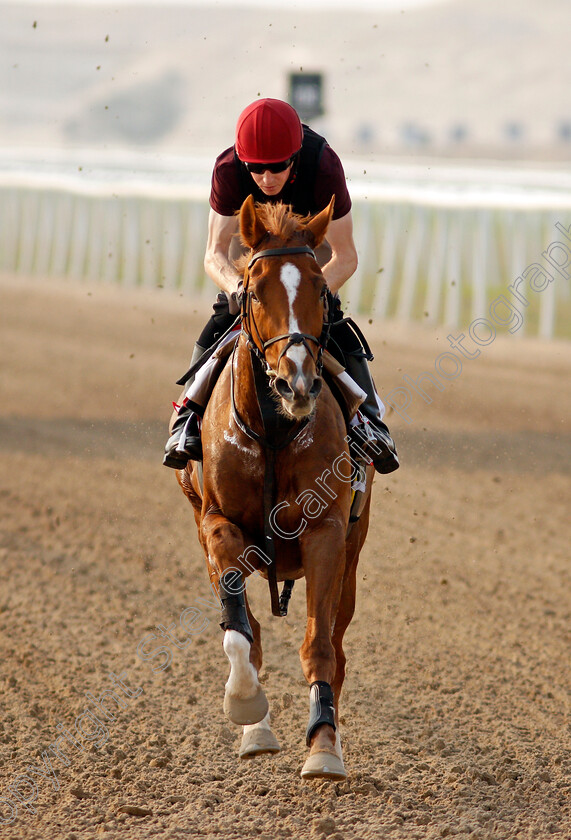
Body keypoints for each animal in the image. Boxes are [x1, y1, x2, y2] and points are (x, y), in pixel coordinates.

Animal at [179, 197, 376, 780]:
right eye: (253, 288)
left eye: (318, 286)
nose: (297, 383)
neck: (272, 431)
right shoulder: (217, 526)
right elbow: (240, 633)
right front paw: (247, 708)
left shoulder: (328, 534)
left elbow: (319, 647)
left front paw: (324, 745)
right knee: (251, 631)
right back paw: (256, 730)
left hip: (353, 553)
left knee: (337, 643)